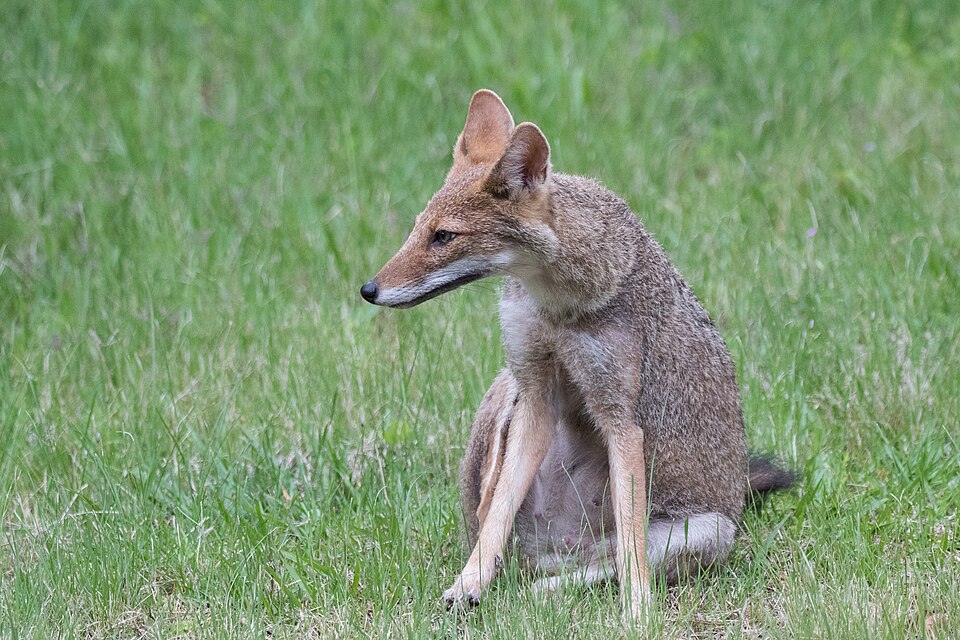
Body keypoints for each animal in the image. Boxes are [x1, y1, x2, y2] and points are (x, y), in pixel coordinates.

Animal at [360, 89, 793, 621]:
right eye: (419, 229)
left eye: (444, 237)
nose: (369, 289)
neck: (559, 306)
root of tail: (561, 549)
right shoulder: (533, 393)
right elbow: (495, 515)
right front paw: (467, 583)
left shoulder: (620, 418)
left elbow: (630, 547)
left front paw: (638, 613)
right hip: (506, 389)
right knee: (503, 529)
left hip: (708, 530)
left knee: (600, 568)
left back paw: (543, 593)